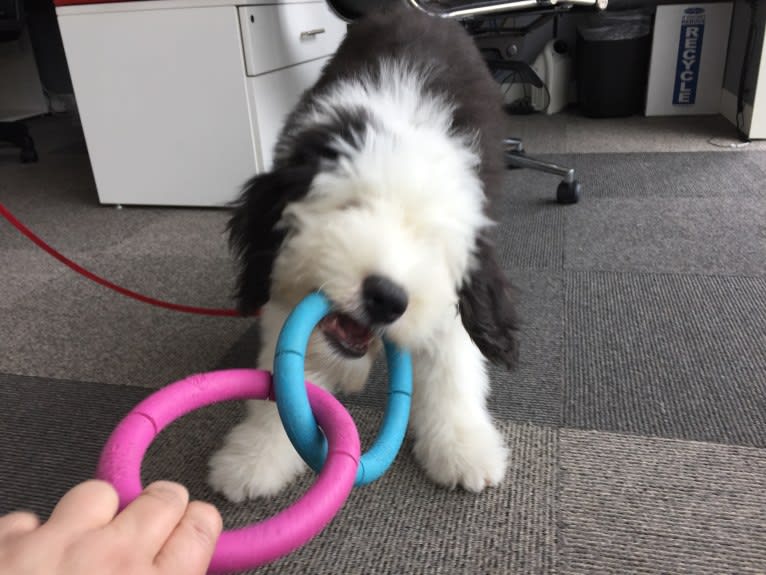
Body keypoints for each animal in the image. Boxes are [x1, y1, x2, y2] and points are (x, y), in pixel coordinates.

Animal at [210, 4, 520, 502]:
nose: (388, 297)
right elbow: (289, 376)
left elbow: (452, 367)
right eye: (351, 206)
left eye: (431, 241)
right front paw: (254, 457)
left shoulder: (451, 295)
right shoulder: (289, 283)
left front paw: (464, 449)